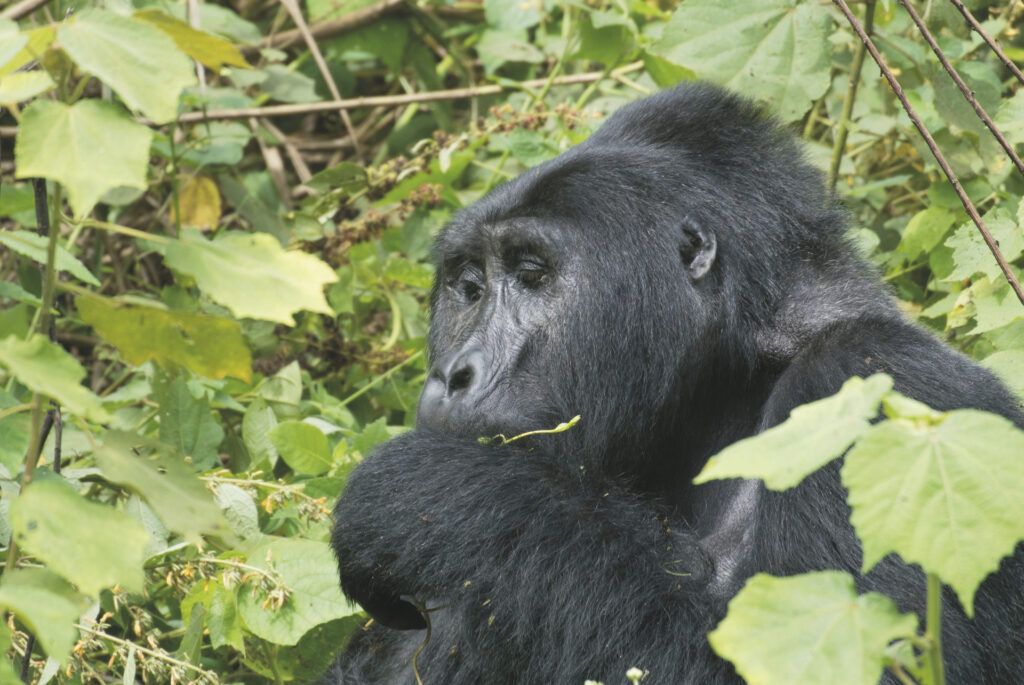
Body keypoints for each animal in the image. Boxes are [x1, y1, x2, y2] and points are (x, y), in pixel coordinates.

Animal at [325, 83, 1024, 683]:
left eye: (532, 274)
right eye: (468, 287)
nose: (453, 374)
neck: (731, 380)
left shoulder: (874, 381)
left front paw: (433, 495)